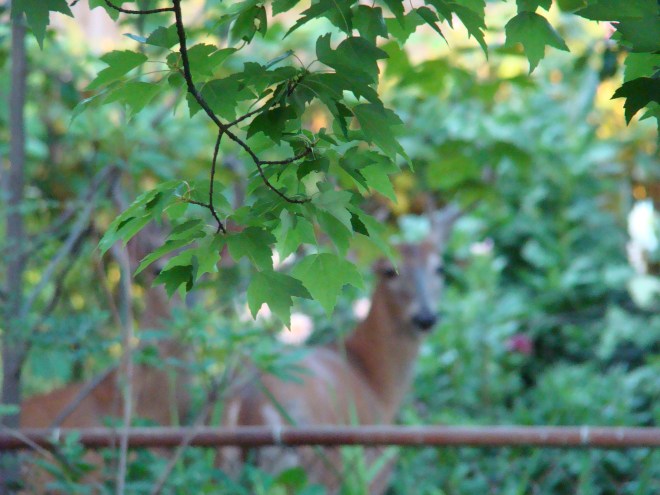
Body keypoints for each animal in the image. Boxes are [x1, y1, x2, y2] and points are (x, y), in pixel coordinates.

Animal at [220, 206, 461, 494]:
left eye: (439, 268)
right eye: (388, 271)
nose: (426, 317)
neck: (374, 380)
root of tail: (249, 409)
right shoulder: (374, 469)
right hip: (320, 465)